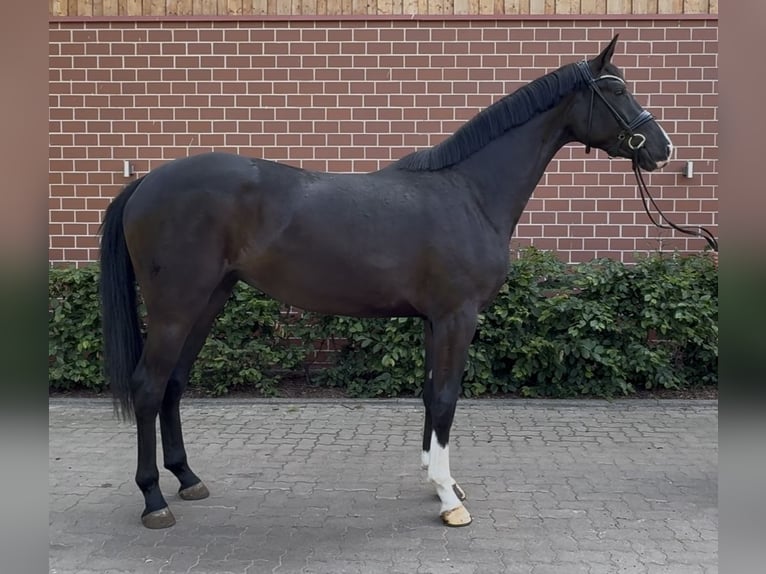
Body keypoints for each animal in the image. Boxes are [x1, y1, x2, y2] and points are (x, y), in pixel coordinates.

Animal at [99, 35, 673, 529]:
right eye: (616, 90)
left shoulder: (433, 321)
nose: (661, 148)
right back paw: (154, 500)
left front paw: (440, 483)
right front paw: (448, 500)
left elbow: (429, 395)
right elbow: (446, 396)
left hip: (208, 301)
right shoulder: (457, 317)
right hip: (175, 308)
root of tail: (146, 182)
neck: (469, 192)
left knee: (173, 385)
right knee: (149, 387)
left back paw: (187, 479)